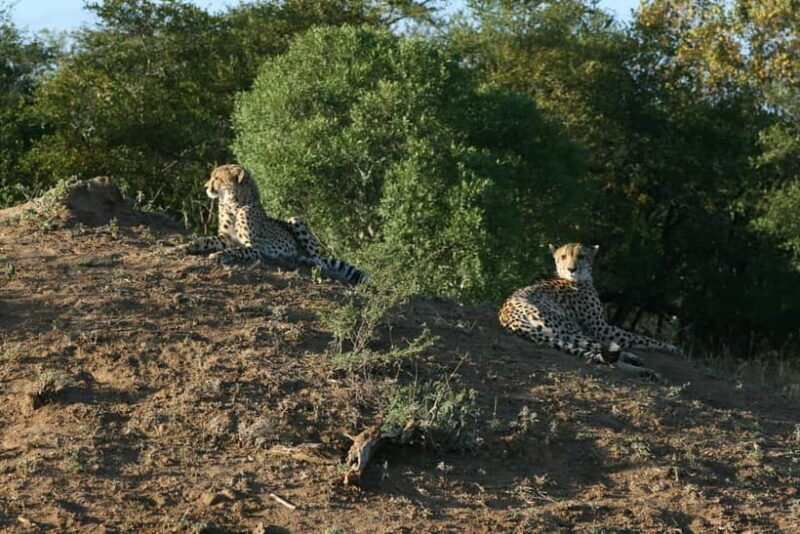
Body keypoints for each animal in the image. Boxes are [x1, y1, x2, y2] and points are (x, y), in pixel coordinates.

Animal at [183, 164, 368, 285]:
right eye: (212, 177)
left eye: (217, 178)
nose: (205, 186)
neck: (233, 202)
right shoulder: (225, 238)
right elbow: (205, 240)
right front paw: (186, 245)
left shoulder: (254, 248)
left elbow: (235, 250)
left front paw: (218, 255)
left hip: (295, 219)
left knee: (321, 261)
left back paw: (310, 262)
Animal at [499, 243, 679, 377]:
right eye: (563, 257)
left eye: (581, 257)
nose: (572, 269)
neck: (575, 280)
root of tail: (509, 317)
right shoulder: (600, 328)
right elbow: (640, 337)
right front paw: (672, 347)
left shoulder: (600, 328)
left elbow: (637, 338)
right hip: (569, 329)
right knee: (604, 354)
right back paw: (642, 369)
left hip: (561, 333)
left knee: (597, 352)